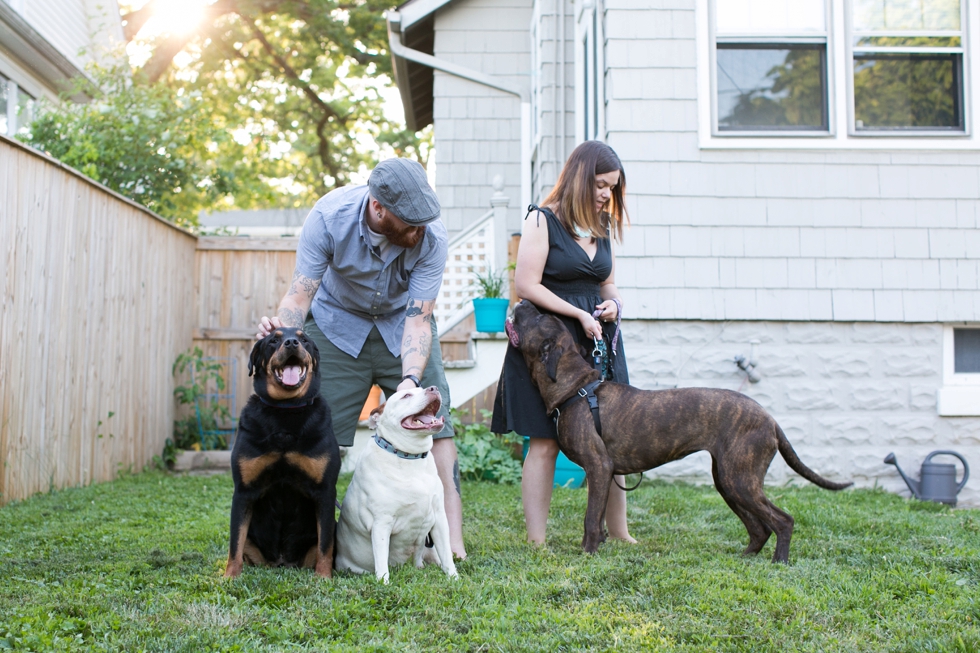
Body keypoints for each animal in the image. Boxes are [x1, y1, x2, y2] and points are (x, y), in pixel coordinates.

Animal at [226, 328, 340, 580]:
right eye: (273, 340)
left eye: (304, 339)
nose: (291, 343)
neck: (286, 411)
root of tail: (282, 562)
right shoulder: (243, 491)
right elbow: (235, 542)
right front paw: (229, 577)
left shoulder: (325, 491)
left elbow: (325, 544)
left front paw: (323, 577)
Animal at [334, 384, 458, 584]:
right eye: (406, 396)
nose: (433, 388)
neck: (409, 457)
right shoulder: (381, 523)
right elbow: (381, 559)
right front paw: (383, 583)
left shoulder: (439, 517)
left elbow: (446, 554)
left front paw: (454, 577)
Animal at [506, 300, 848, 560]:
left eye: (540, 317)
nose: (522, 301)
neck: (576, 387)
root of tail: (770, 418)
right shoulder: (602, 473)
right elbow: (598, 519)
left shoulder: (598, 467)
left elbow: (591, 519)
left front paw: (587, 555)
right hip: (728, 480)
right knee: (760, 527)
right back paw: (746, 557)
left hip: (740, 480)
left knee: (783, 520)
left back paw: (779, 561)